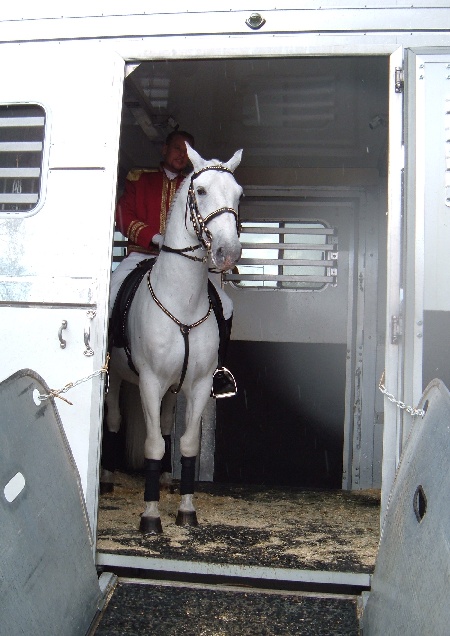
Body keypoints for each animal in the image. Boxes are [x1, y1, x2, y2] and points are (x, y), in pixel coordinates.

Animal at [102, 143, 243, 532]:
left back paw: (164, 479)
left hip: (171, 389)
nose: (229, 253)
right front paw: (150, 516)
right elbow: (152, 445)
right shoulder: (150, 382)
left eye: (238, 194)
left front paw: (186, 510)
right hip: (122, 378)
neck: (183, 302)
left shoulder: (198, 385)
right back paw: (106, 479)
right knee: (115, 421)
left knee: (165, 426)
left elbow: (187, 444)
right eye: (202, 191)